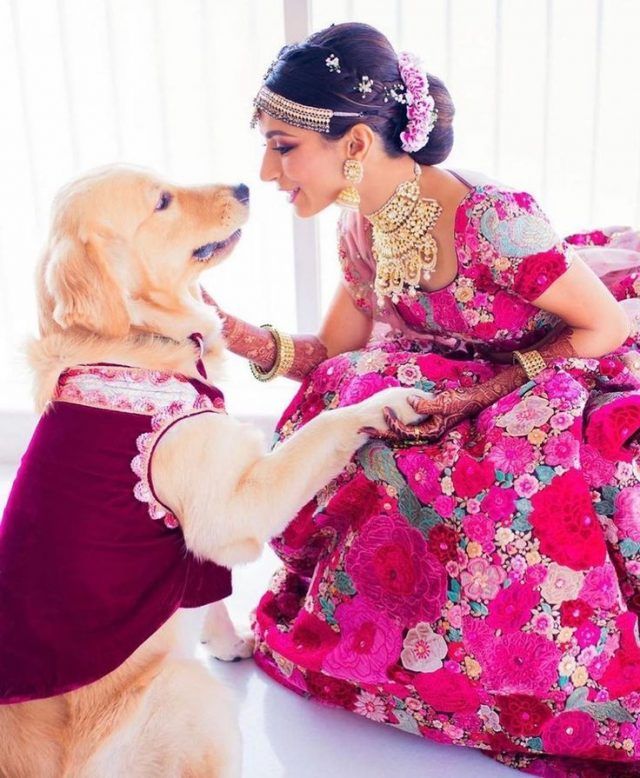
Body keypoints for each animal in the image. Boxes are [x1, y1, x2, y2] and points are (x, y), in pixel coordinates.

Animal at [0, 167, 424, 772]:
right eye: (162, 201)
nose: (245, 188)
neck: (129, 344)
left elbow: (211, 595)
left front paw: (226, 643)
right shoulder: (229, 509)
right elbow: (326, 428)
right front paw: (386, 401)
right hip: (192, 697)